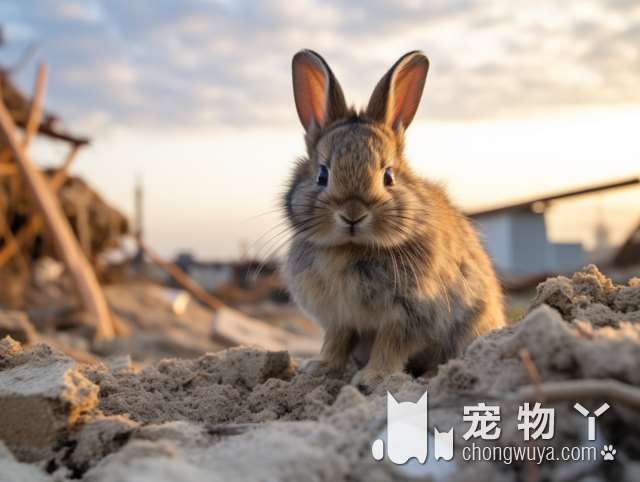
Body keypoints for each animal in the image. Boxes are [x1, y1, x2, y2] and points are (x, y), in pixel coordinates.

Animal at [282, 49, 502, 392]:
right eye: (322, 175)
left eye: (388, 176)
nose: (353, 214)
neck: (350, 248)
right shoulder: (339, 318)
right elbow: (336, 342)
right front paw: (319, 369)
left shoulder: (408, 314)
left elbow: (390, 345)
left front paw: (374, 378)